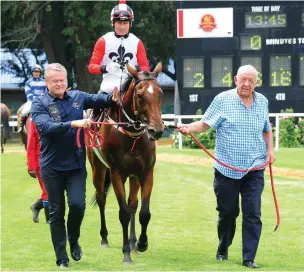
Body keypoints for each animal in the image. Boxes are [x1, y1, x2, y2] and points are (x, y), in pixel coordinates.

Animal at [86, 62, 165, 264]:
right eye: (140, 95)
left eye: (160, 93)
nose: (157, 130)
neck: (132, 134)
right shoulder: (116, 173)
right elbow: (122, 213)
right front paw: (126, 254)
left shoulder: (146, 173)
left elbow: (143, 212)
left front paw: (141, 243)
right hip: (98, 170)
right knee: (102, 199)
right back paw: (104, 239)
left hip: (134, 175)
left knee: (132, 205)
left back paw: (133, 242)